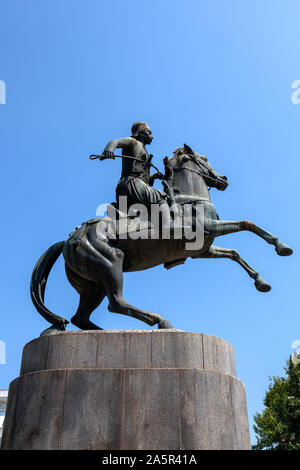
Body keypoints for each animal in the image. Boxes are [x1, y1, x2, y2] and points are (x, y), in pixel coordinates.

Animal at [31, 145, 292, 332]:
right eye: (204, 158)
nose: (223, 179)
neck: (189, 197)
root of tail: (69, 239)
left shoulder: (202, 250)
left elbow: (234, 254)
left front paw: (261, 282)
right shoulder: (210, 228)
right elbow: (248, 223)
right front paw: (282, 246)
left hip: (92, 285)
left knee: (81, 317)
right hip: (110, 264)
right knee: (116, 303)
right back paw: (159, 321)